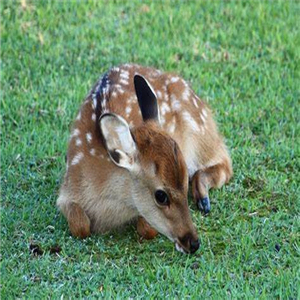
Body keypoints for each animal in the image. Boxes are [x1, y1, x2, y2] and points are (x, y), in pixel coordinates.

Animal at [57, 63, 233, 253]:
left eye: (186, 180)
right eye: (161, 196)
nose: (193, 243)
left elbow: (147, 229)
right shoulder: (67, 189)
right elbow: (80, 227)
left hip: (200, 130)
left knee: (225, 162)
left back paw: (203, 199)